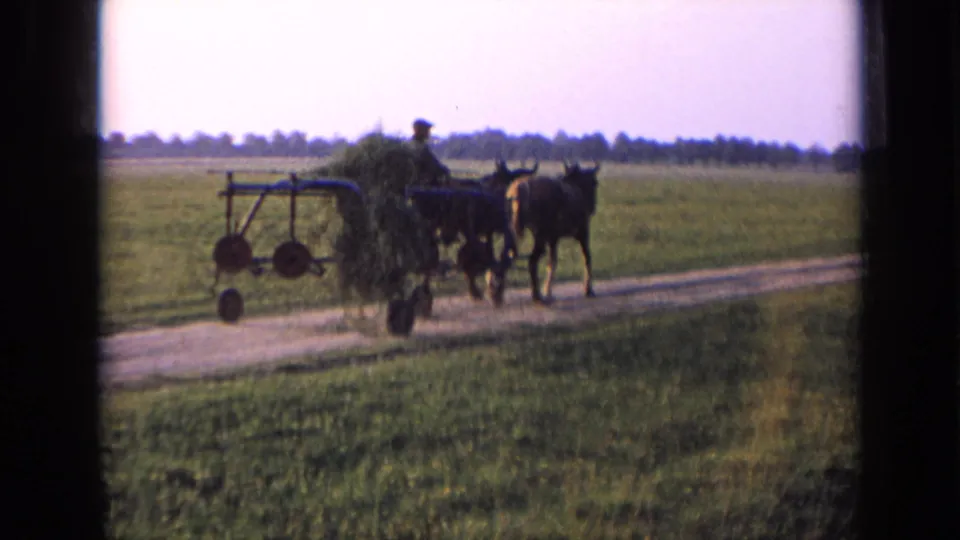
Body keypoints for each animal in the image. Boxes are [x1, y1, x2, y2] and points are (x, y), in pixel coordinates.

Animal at [504, 159, 601, 304]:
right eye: (594, 182)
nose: (593, 207)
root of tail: (518, 189)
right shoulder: (582, 232)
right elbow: (587, 258)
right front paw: (588, 289)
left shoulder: (553, 238)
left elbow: (552, 261)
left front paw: (548, 290)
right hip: (540, 236)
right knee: (532, 261)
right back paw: (536, 295)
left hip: (514, 231)